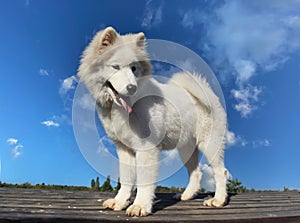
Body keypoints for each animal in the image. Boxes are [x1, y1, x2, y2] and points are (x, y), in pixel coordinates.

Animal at [77, 26, 227, 216]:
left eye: (134, 68)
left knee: (220, 171)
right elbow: (126, 179)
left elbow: (143, 181)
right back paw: (186, 196)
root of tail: (209, 94)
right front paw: (120, 202)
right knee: (196, 173)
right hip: (186, 149)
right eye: (115, 67)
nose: (132, 88)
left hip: (210, 143)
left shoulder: (146, 148)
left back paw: (218, 200)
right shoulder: (124, 149)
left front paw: (140, 206)